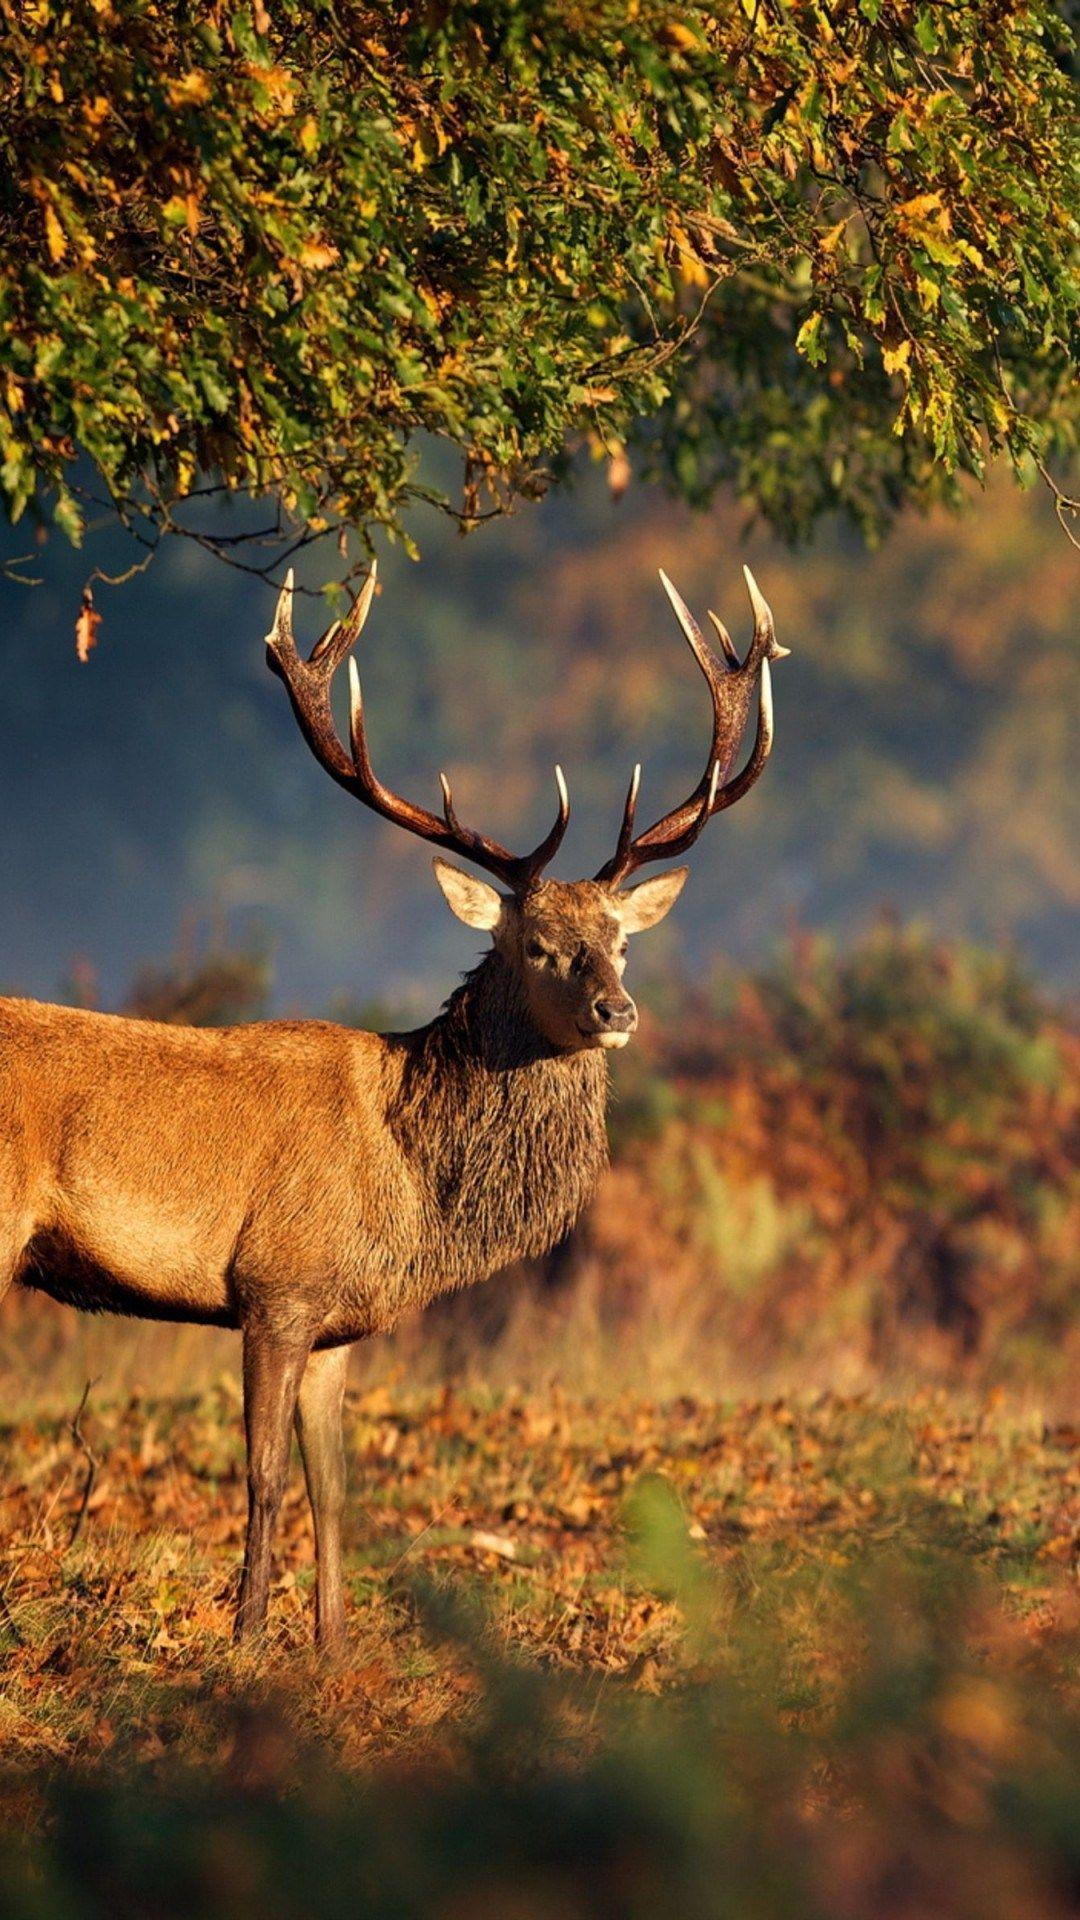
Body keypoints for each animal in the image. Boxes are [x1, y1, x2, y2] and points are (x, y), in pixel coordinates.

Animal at [0, 563, 786, 1654]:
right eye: (536, 944)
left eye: (623, 942)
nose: (617, 1011)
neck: (410, 1183)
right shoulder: (275, 1287)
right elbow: (264, 1479)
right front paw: (247, 1644)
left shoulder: (340, 1323)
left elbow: (333, 1490)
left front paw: (332, 1652)